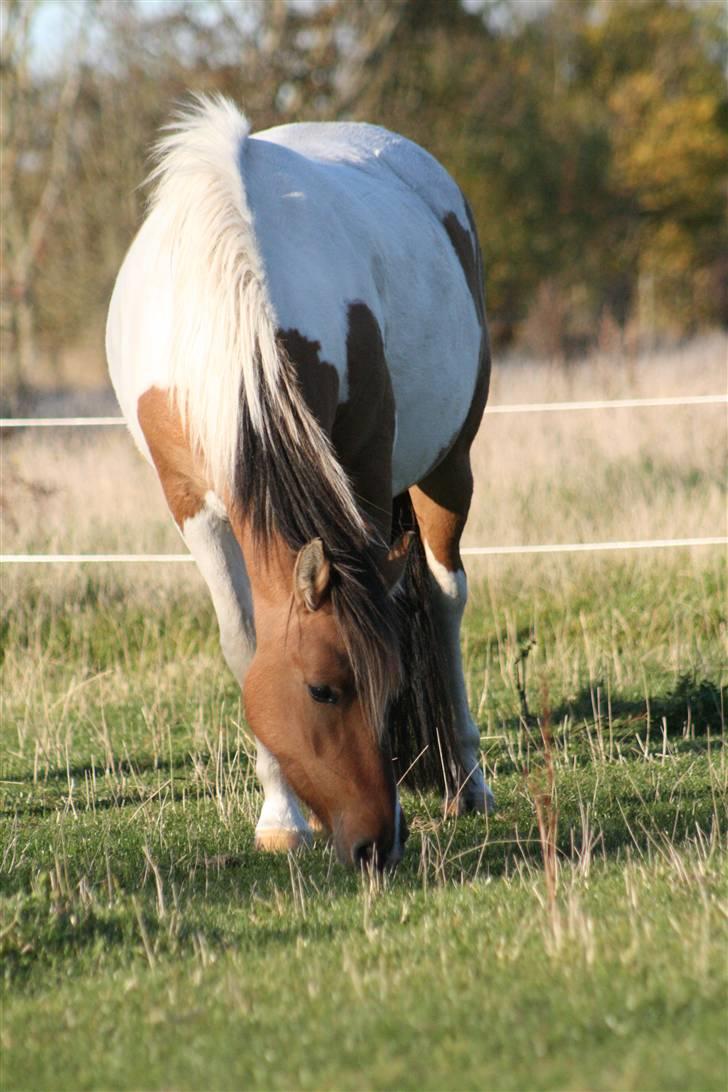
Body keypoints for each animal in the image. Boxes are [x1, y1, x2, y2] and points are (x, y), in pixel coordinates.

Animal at [106, 98, 495, 873]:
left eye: (392, 687)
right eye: (323, 690)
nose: (378, 843)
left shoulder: (365, 472)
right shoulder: (192, 507)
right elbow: (244, 643)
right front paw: (281, 816)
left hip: (449, 466)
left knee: (444, 601)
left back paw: (467, 780)